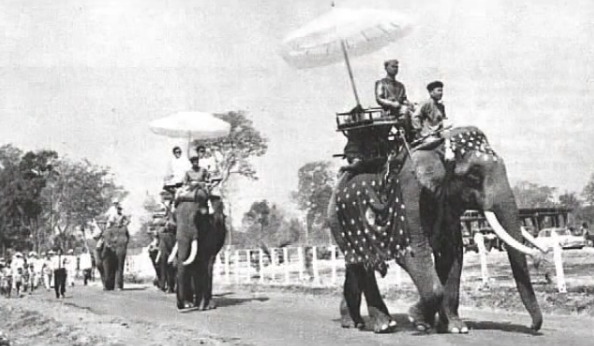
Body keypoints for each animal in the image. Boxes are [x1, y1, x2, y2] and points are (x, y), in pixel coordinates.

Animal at [328, 127, 544, 336]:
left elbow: (452, 254)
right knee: (364, 264)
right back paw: (384, 326)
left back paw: (353, 322)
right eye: (473, 176)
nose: (533, 327)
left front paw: (455, 328)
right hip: (340, 221)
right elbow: (413, 252)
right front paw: (418, 320)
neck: (437, 149)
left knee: (354, 265)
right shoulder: (410, 195)